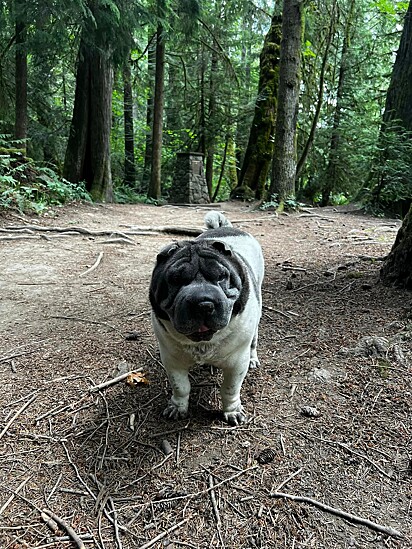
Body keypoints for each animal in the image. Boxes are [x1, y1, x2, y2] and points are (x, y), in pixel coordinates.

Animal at [149, 210, 264, 424]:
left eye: (221, 276)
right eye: (175, 280)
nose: (203, 303)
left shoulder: (237, 363)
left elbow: (230, 388)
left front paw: (232, 411)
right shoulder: (172, 360)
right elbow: (180, 386)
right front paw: (177, 407)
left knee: (253, 341)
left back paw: (253, 359)